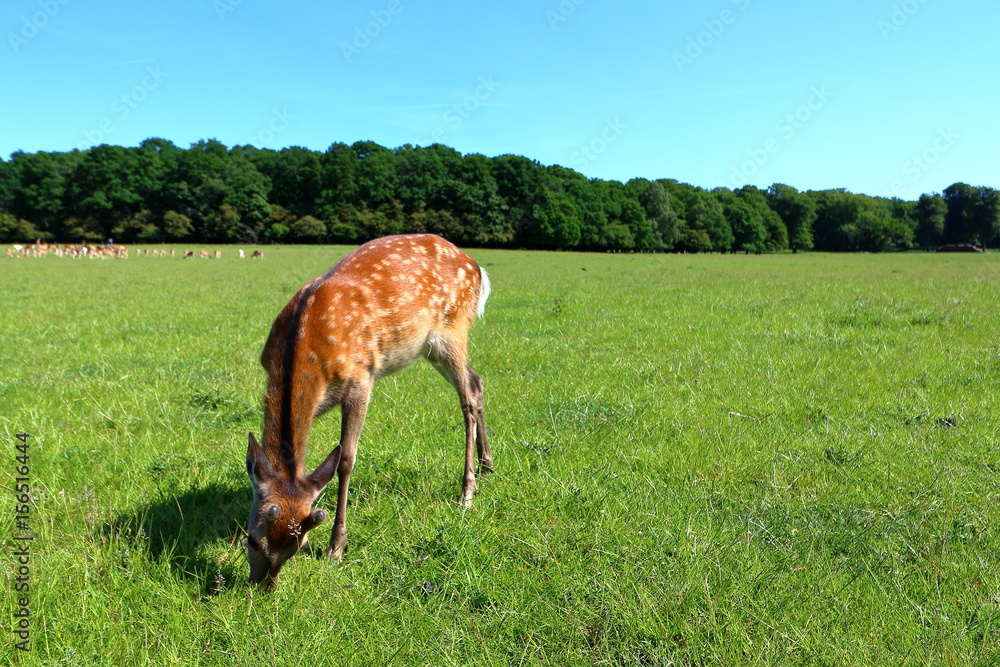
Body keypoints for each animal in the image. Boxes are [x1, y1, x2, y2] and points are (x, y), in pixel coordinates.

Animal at [244, 234, 493, 589]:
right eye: (251, 538)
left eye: (299, 545)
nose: (263, 585)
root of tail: (476, 267)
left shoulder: (361, 379)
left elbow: (346, 459)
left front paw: (337, 547)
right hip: (431, 348)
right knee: (477, 380)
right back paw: (488, 464)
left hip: (454, 329)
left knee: (468, 396)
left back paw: (467, 493)